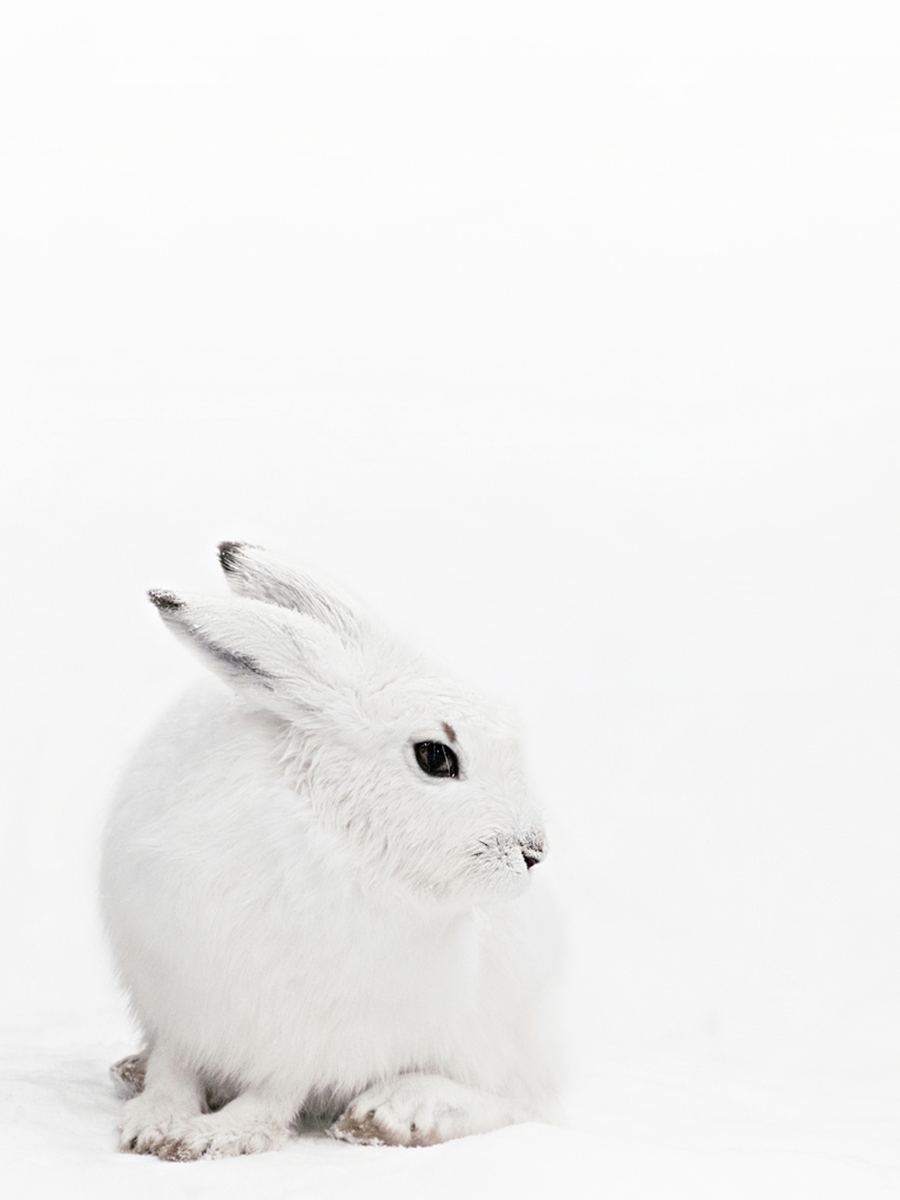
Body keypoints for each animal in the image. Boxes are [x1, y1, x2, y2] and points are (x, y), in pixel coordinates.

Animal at [101, 542, 562, 1161]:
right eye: (436, 756)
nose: (533, 851)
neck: (332, 834)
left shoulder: (320, 1034)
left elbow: (276, 1092)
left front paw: (212, 1136)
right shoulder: (179, 997)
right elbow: (176, 1067)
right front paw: (154, 1121)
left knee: (515, 1101)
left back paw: (394, 1115)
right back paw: (131, 1068)